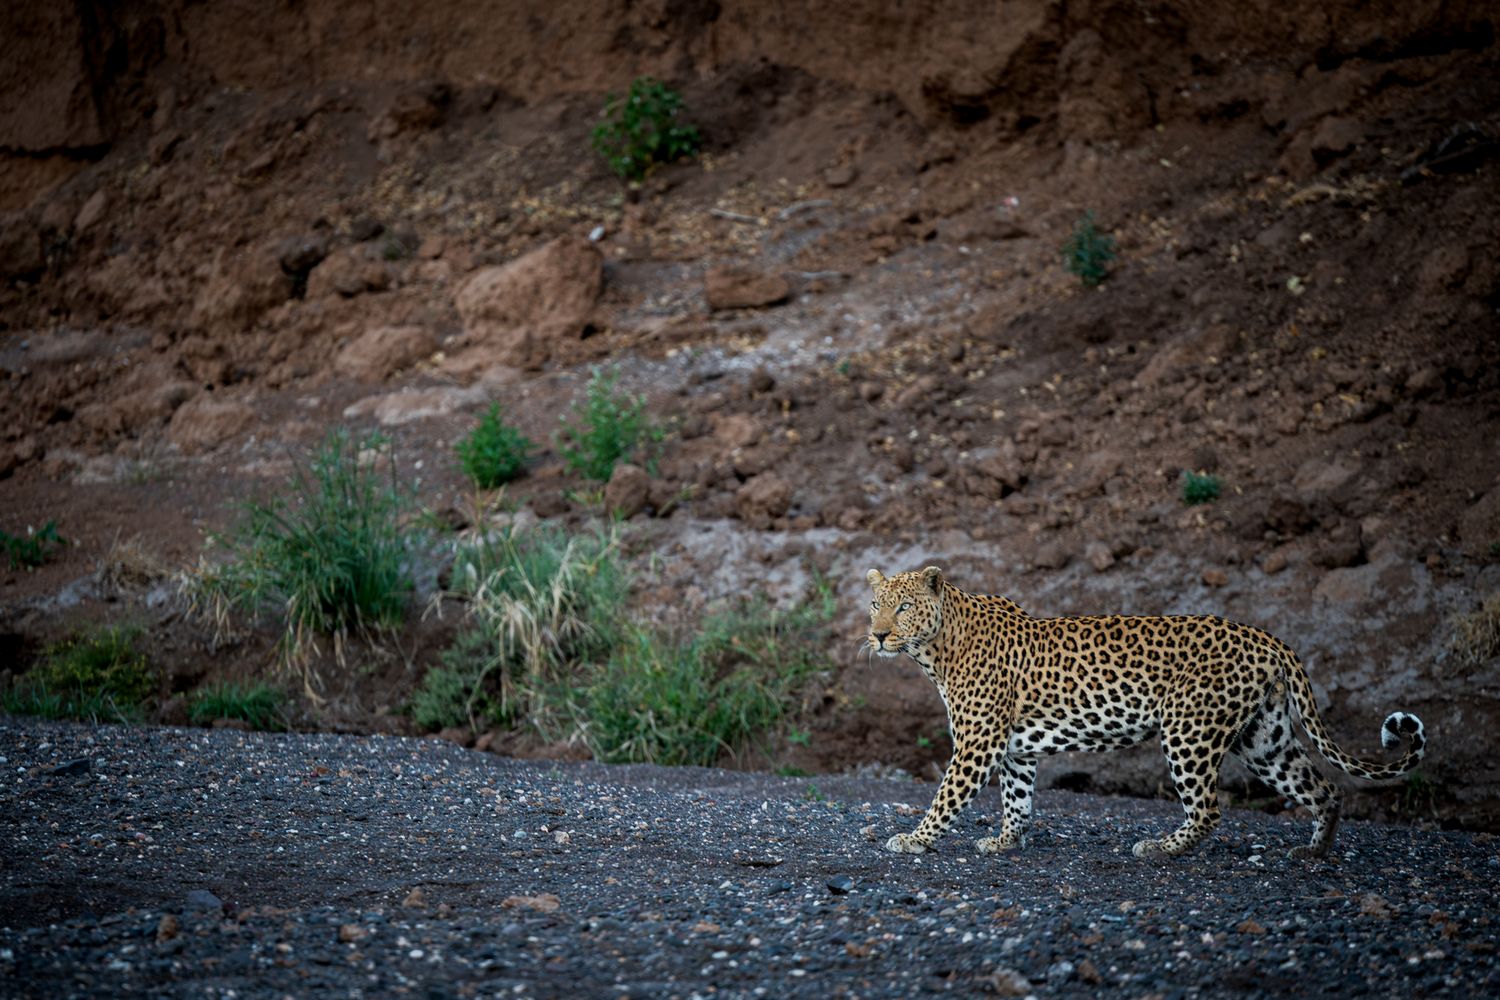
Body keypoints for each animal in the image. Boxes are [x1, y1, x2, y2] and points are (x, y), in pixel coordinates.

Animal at [866, 566, 1427, 859]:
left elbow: (947, 796)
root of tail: (1267, 637)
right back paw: (1314, 852)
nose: (878, 635)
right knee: (1323, 789)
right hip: (1263, 738)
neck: (935, 650)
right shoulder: (1014, 748)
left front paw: (914, 839)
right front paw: (1005, 842)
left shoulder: (977, 743)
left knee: (1209, 809)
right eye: (875, 604)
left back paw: (1160, 847)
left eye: (905, 607)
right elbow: (1017, 799)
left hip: (1189, 730)